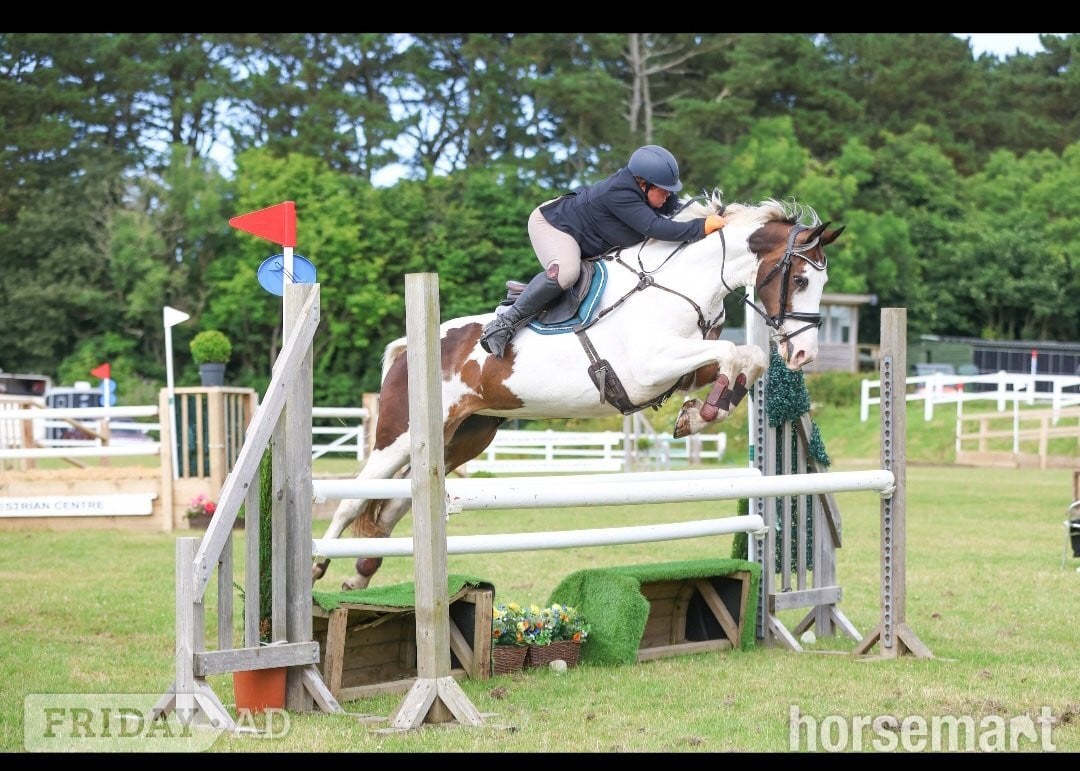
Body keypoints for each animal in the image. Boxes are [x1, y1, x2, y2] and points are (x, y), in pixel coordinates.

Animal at [313, 191, 843, 590]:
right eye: (799, 279)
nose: (803, 355)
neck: (680, 286)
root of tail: (409, 348)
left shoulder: (683, 366)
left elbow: (746, 358)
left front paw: (700, 412)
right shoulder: (649, 367)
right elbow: (736, 354)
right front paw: (702, 413)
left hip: (462, 437)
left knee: (394, 504)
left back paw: (360, 575)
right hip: (399, 436)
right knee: (354, 498)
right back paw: (319, 564)